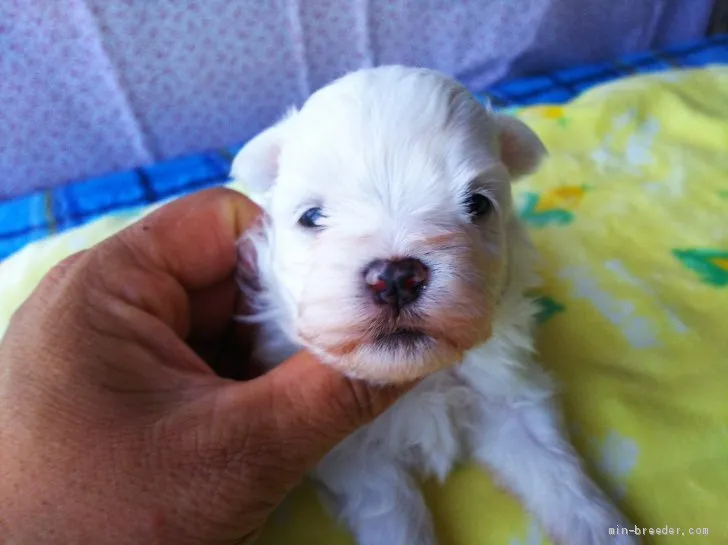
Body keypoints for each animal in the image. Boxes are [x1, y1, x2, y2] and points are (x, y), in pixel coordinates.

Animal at [232, 65, 632, 544]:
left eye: (477, 204)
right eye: (311, 217)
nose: (396, 278)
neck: (422, 380)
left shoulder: (508, 393)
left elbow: (553, 468)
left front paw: (602, 528)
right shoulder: (350, 452)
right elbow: (392, 509)